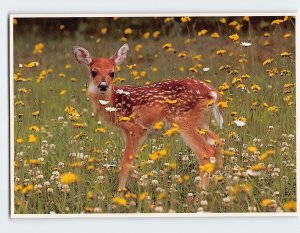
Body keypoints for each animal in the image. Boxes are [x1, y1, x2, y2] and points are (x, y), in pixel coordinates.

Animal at [72, 43, 223, 191]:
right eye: (93, 72)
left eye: (112, 73)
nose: (103, 86)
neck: (114, 102)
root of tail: (213, 92)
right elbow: (133, 163)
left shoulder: (135, 128)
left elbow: (126, 163)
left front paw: (120, 191)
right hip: (202, 122)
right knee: (217, 142)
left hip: (184, 121)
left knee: (206, 152)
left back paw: (201, 191)